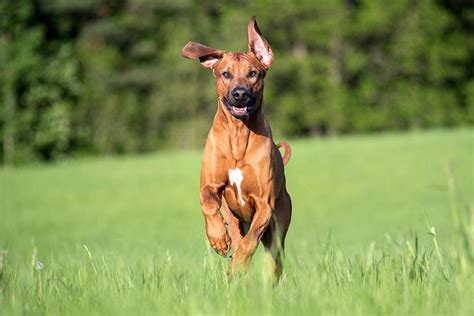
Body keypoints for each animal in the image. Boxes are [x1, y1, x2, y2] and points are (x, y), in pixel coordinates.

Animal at [182, 16, 290, 278]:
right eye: (226, 74)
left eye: (253, 74)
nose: (240, 94)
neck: (239, 135)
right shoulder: (210, 185)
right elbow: (208, 203)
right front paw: (218, 239)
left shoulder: (264, 204)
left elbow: (250, 242)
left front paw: (238, 263)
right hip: (235, 217)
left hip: (277, 231)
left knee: (271, 257)